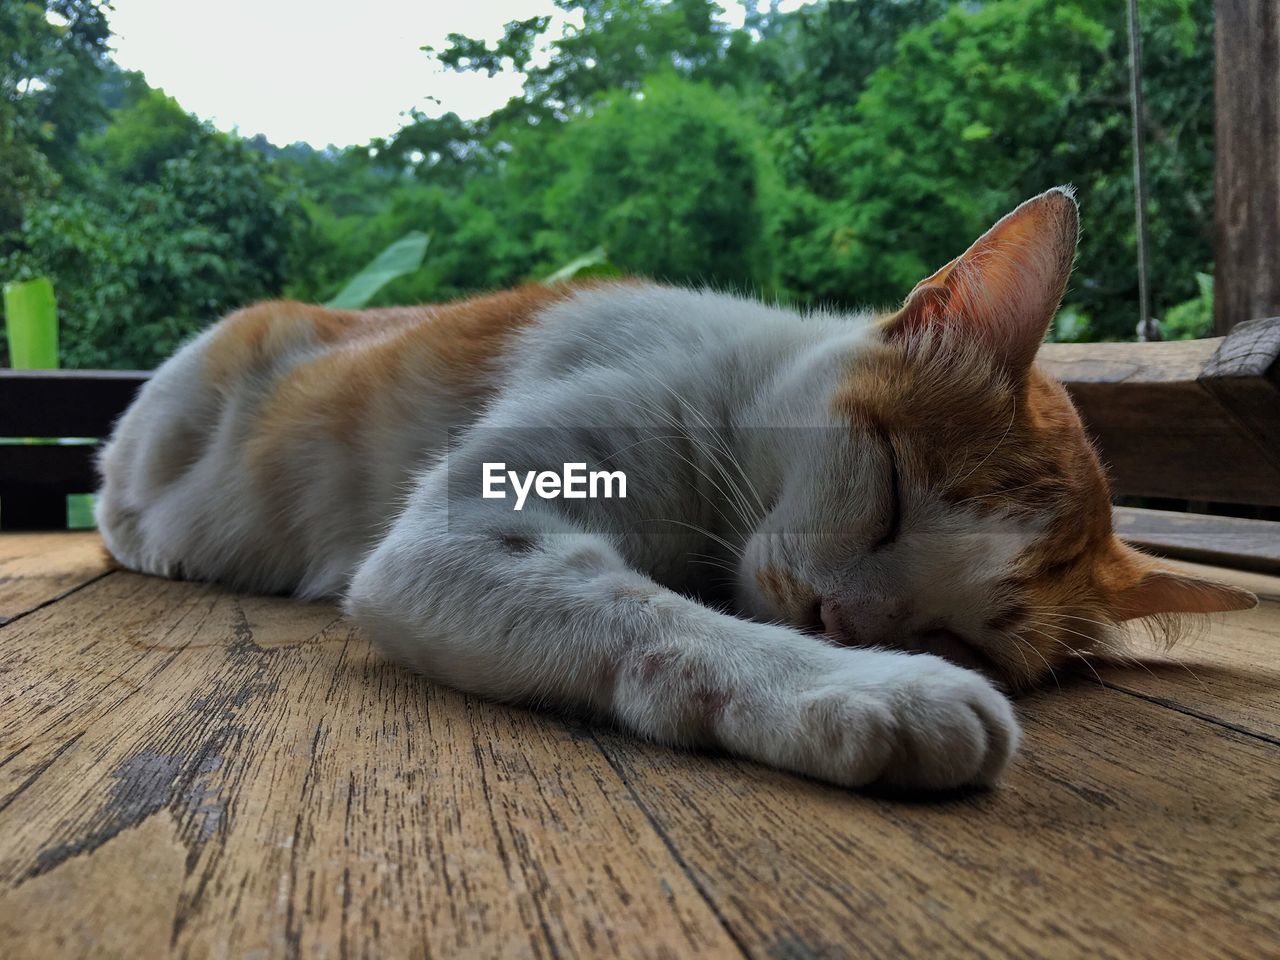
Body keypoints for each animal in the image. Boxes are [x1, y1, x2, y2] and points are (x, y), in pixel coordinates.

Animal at [94, 188, 1254, 788]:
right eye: (888, 491)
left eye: (964, 634)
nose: (842, 620)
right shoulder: (459, 532)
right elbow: (656, 615)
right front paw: (866, 689)